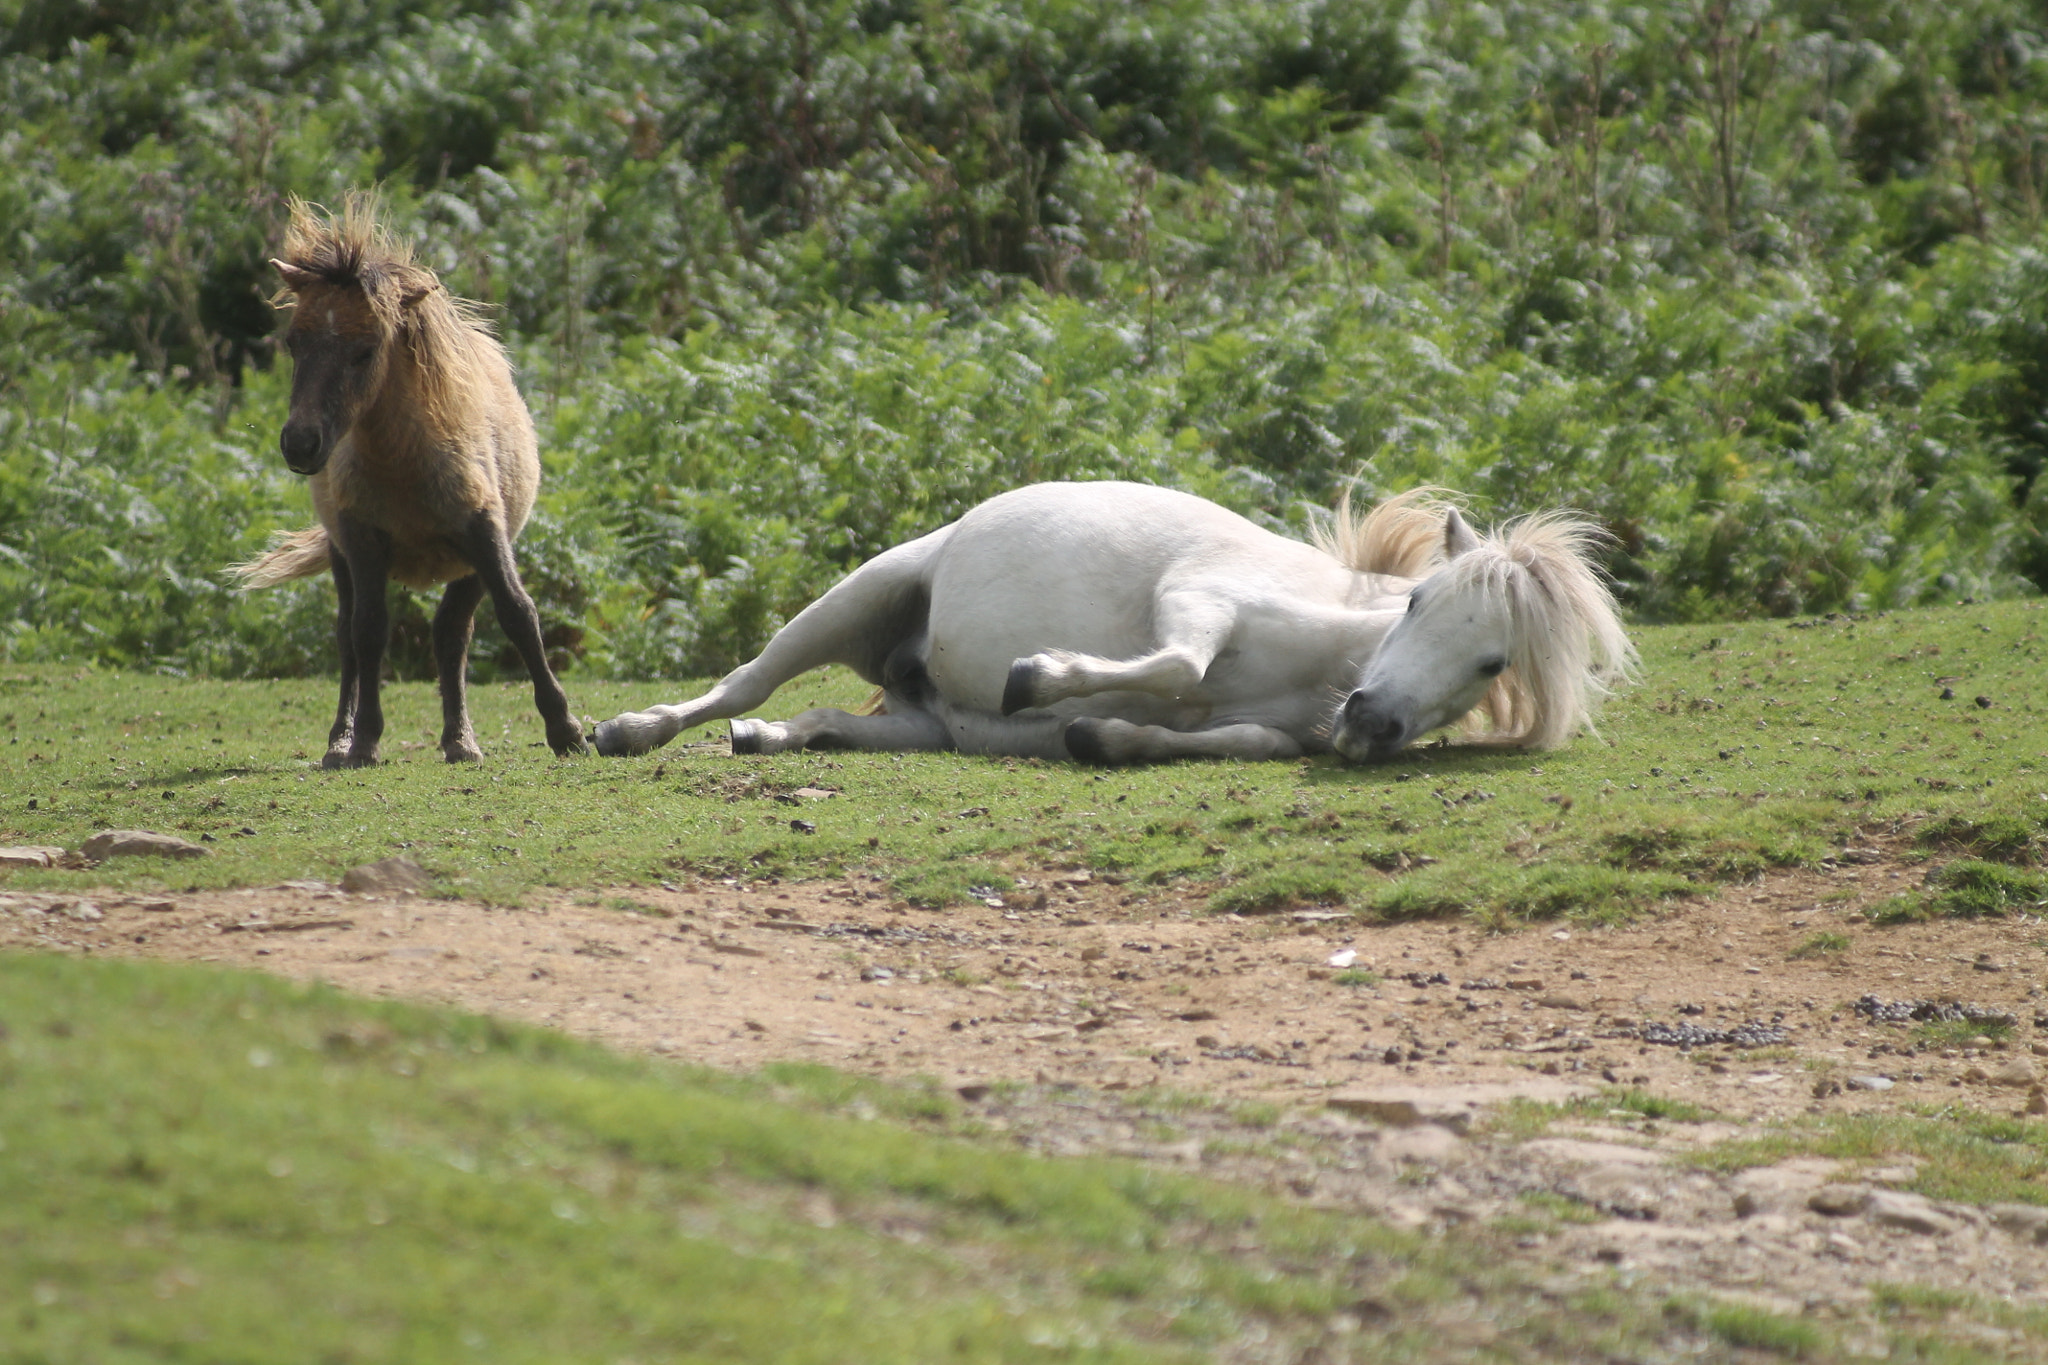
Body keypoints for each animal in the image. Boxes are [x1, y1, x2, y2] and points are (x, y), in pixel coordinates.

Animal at [232, 194, 585, 769]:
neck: (405, 465)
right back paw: (341, 741)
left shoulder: (485, 532)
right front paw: (364, 741)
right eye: (294, 343)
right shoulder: (361, 541)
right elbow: (369, 631)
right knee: (349, 637)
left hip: (465, 568)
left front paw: (566, 730)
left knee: (450, 635)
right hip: (342, 557)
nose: (301, 444)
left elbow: (518, 614)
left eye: (365, 349)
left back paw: (460, 740)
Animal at [589, 480, 1630, 765]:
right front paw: (1037, 678)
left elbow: (1227, 733)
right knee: (744, 680)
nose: (1371, 722)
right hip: (847, 601)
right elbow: (1179, 665)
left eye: (1494, 662)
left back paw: (769, 739)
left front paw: (1100, 733)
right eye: (1417, 600)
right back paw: (627, 729)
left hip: (920, 723)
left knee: (829, 720)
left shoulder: (1274, 728)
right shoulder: (1199, 599)